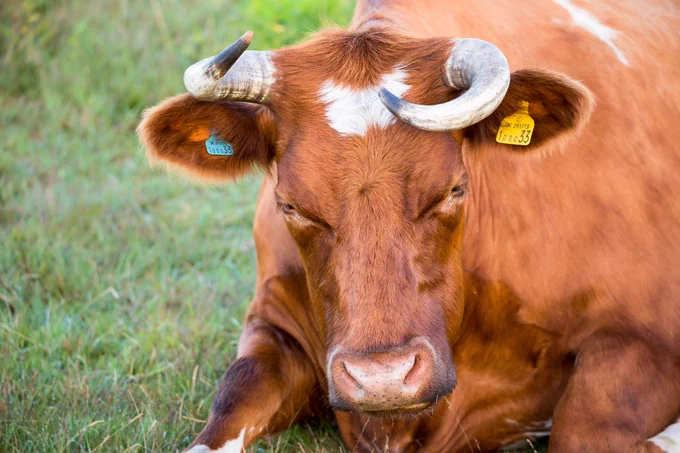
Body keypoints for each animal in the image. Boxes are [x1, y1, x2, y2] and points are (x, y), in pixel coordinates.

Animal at [137, 0, 680, 451]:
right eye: (290, 206)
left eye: (454, 190)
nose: (383, 379)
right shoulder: (272, 323)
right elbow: (232, 397)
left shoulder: (645, 339)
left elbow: (584, 429)